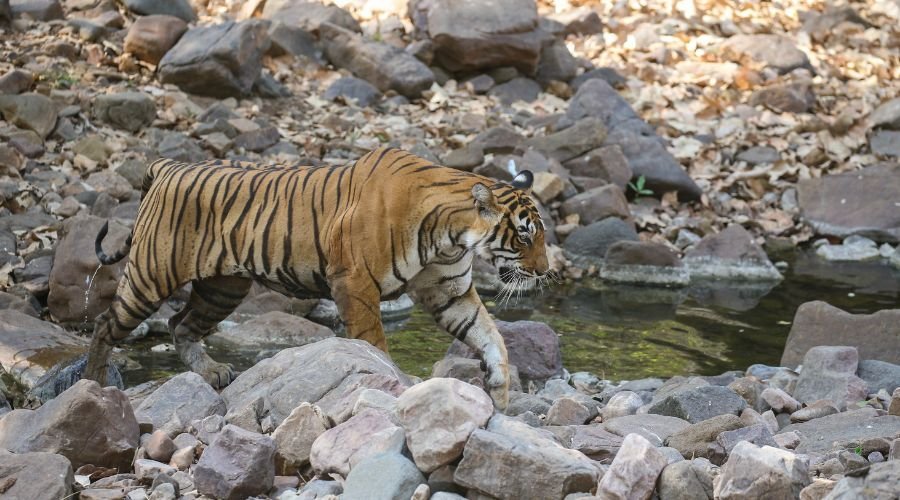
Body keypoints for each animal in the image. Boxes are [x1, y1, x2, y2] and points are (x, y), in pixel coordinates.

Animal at [83, 146, 550, 410]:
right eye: (525, 235)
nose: (546, 272)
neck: (452, 237)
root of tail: (167, 165)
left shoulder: (448, 291)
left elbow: (490, 335)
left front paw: (500, 390)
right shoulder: (356, 284)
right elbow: (374, 343)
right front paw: (394, 384)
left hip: (223, 287)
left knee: (180, 324)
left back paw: (211, 372)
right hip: (151, 275)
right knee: (106, 325)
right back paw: (93, 385)